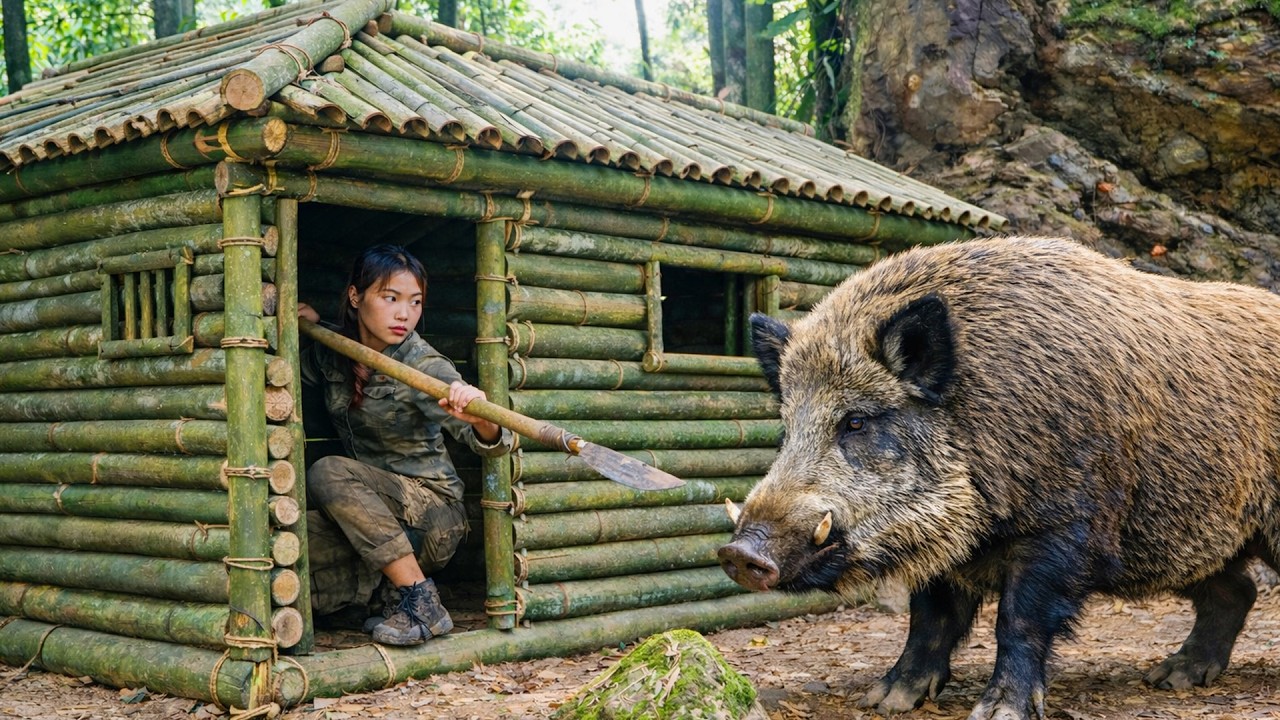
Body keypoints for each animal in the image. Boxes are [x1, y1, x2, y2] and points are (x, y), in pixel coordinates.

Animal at [718, 236, 1280, 720]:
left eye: (856, 421)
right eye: (788, 426)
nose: (740, 553)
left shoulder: (1064, 526)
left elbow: (1018, 620)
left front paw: (999, 712)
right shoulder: (942, 549)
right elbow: (929, 617)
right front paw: (884, 700)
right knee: (1237, 590)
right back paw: (1169, 678)